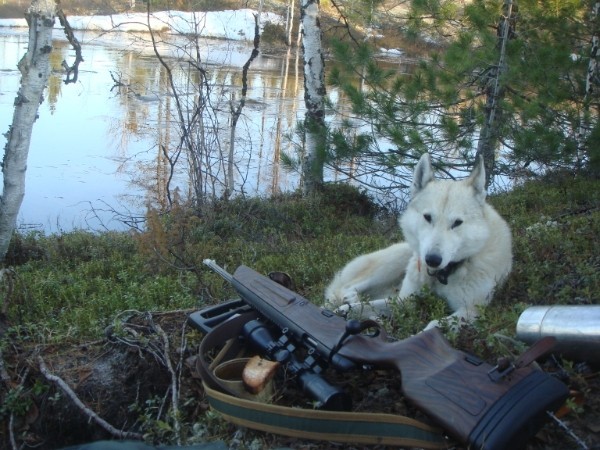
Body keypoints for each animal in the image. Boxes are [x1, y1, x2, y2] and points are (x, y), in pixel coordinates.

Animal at [326, 153, 512, 328]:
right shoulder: (405, 299)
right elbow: (361, 307)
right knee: (345, 288)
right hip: (397, 260)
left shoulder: (470, 310)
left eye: (457, 223)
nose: (432, 259)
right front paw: (346, 310)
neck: (441, 275)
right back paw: (350, 297)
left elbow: (434, 324)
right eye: (427, 217)